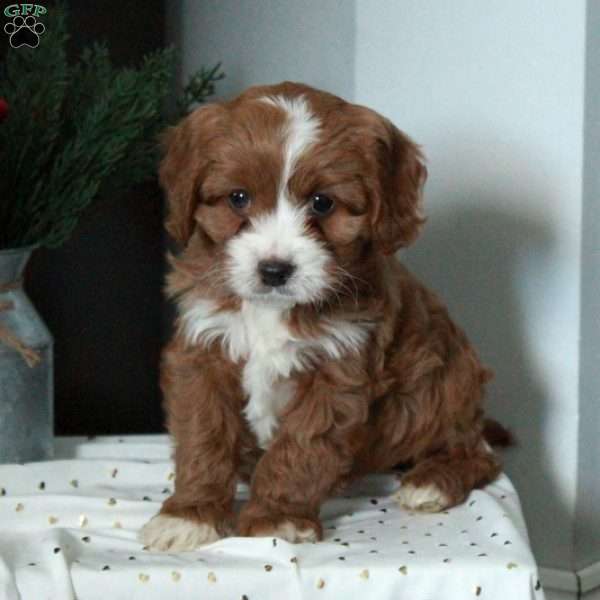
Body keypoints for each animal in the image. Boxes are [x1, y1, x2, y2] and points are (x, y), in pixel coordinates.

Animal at [138, 82, 504, 552]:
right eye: (238, 198)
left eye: (322, 203)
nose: (275, 270)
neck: (271, 309)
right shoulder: (204, 350)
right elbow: (204, 434)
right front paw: (190, 515)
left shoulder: (337, 370)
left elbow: (301, 446)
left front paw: (276, 518)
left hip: (447, 384)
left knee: (478, 453)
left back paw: (432, 482)